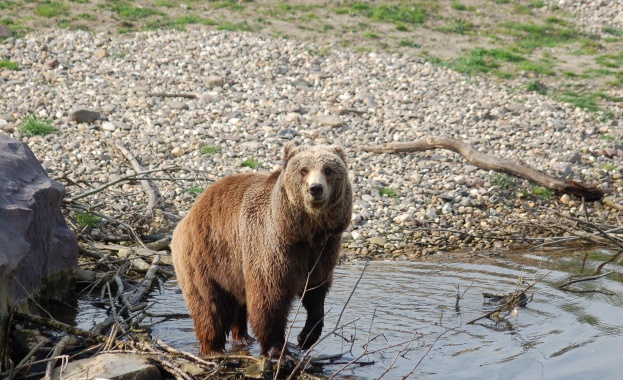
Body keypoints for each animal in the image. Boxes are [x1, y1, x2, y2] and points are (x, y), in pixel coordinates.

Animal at [173, 144, 354, 364]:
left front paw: (305, 338)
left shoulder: (323, 252)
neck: (305, 232)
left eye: (328, 169)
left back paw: (243, 337)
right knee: (210, 306)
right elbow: (269, 299)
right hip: (206, 257)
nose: (315, 188)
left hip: (234, 267)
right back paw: (213, 349)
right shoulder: (272, 247)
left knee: (239, 301)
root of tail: (189, 214)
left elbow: (315, 294)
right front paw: (280, 352)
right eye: (303, 170)